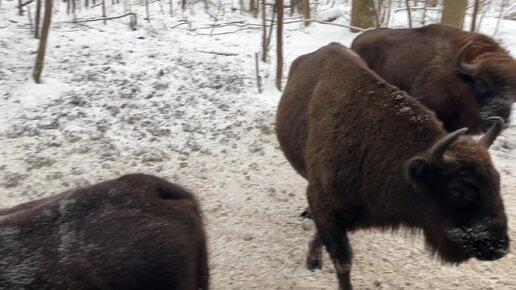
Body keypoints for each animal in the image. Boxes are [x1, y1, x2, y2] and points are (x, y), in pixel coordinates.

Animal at [276, 42, 510, 288]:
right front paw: (314, 260)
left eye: (497, 181)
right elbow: (343, 261)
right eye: (458, 190)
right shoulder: (327, 207)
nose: (499, 248)